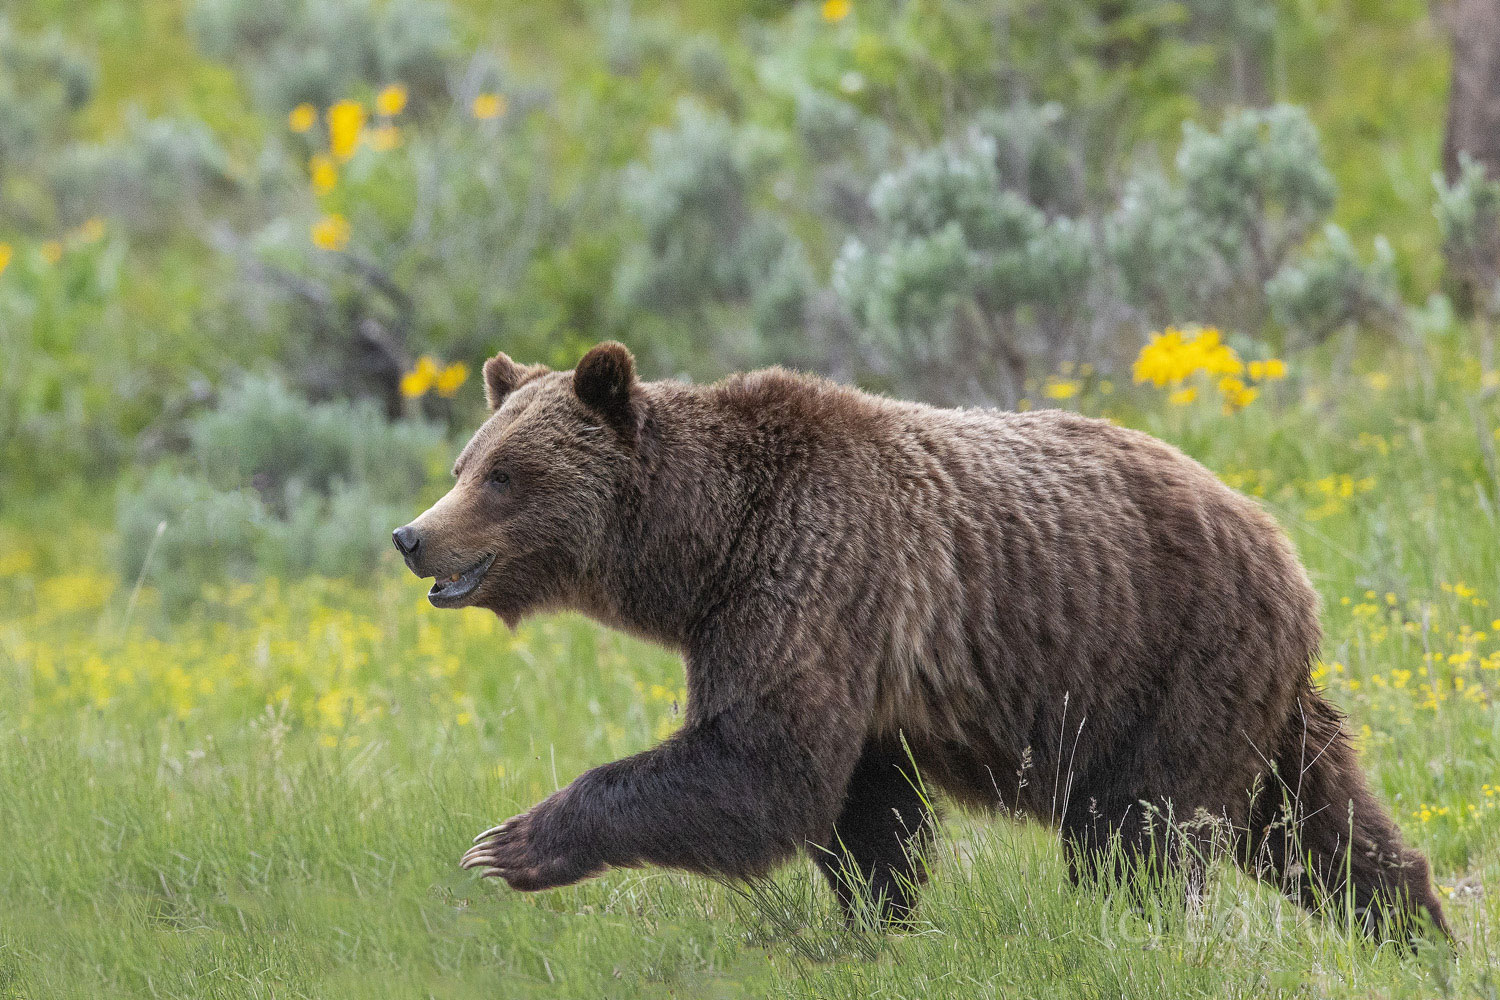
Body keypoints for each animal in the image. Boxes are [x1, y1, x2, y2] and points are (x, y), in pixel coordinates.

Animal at [393, 341, 1446, 941]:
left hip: (1172, 661)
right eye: (465, 462)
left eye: (503, 475)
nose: (412, 535)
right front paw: (876, 923)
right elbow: (858, 807)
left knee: (1141, 836)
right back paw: (1416, 936)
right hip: (1260, 703)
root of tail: (1287, 551)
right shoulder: (833, 648)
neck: (705, 550)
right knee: (1322, 831)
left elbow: (758, 768)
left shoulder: (816, 575)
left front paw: (510, 842)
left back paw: (1129, 932)